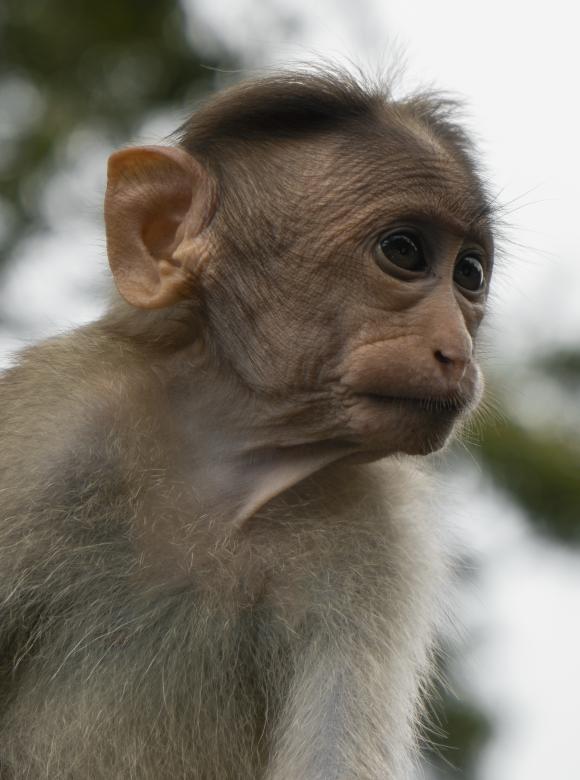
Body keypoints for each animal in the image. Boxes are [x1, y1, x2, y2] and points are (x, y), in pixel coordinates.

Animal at [0, 70, 494, 779]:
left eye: (469, 273)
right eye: (404, 251)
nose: (458, 352)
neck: (220, 466)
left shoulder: (384, 538)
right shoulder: (46, 429)